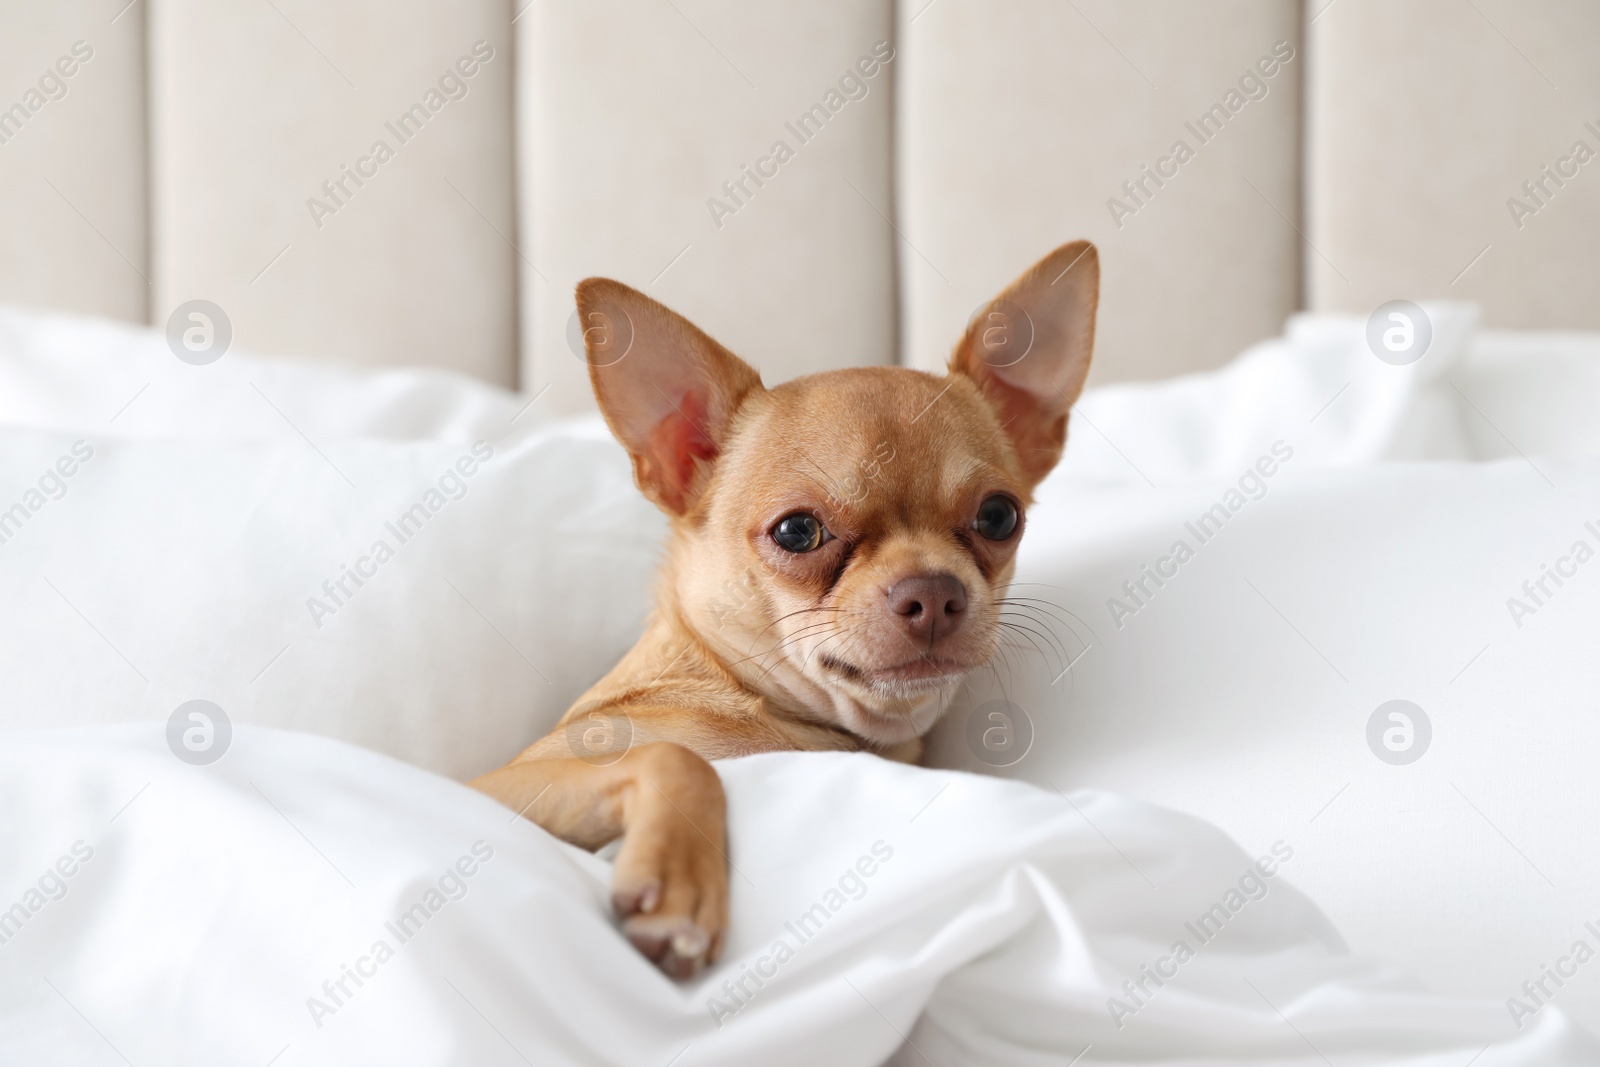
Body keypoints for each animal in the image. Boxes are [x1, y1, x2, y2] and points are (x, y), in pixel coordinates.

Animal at [470, 239, 1100, 979]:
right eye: (797, 531)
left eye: (999, 516)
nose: (935, 592)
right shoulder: (488, 789)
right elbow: (677, 759)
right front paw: (682, 885)